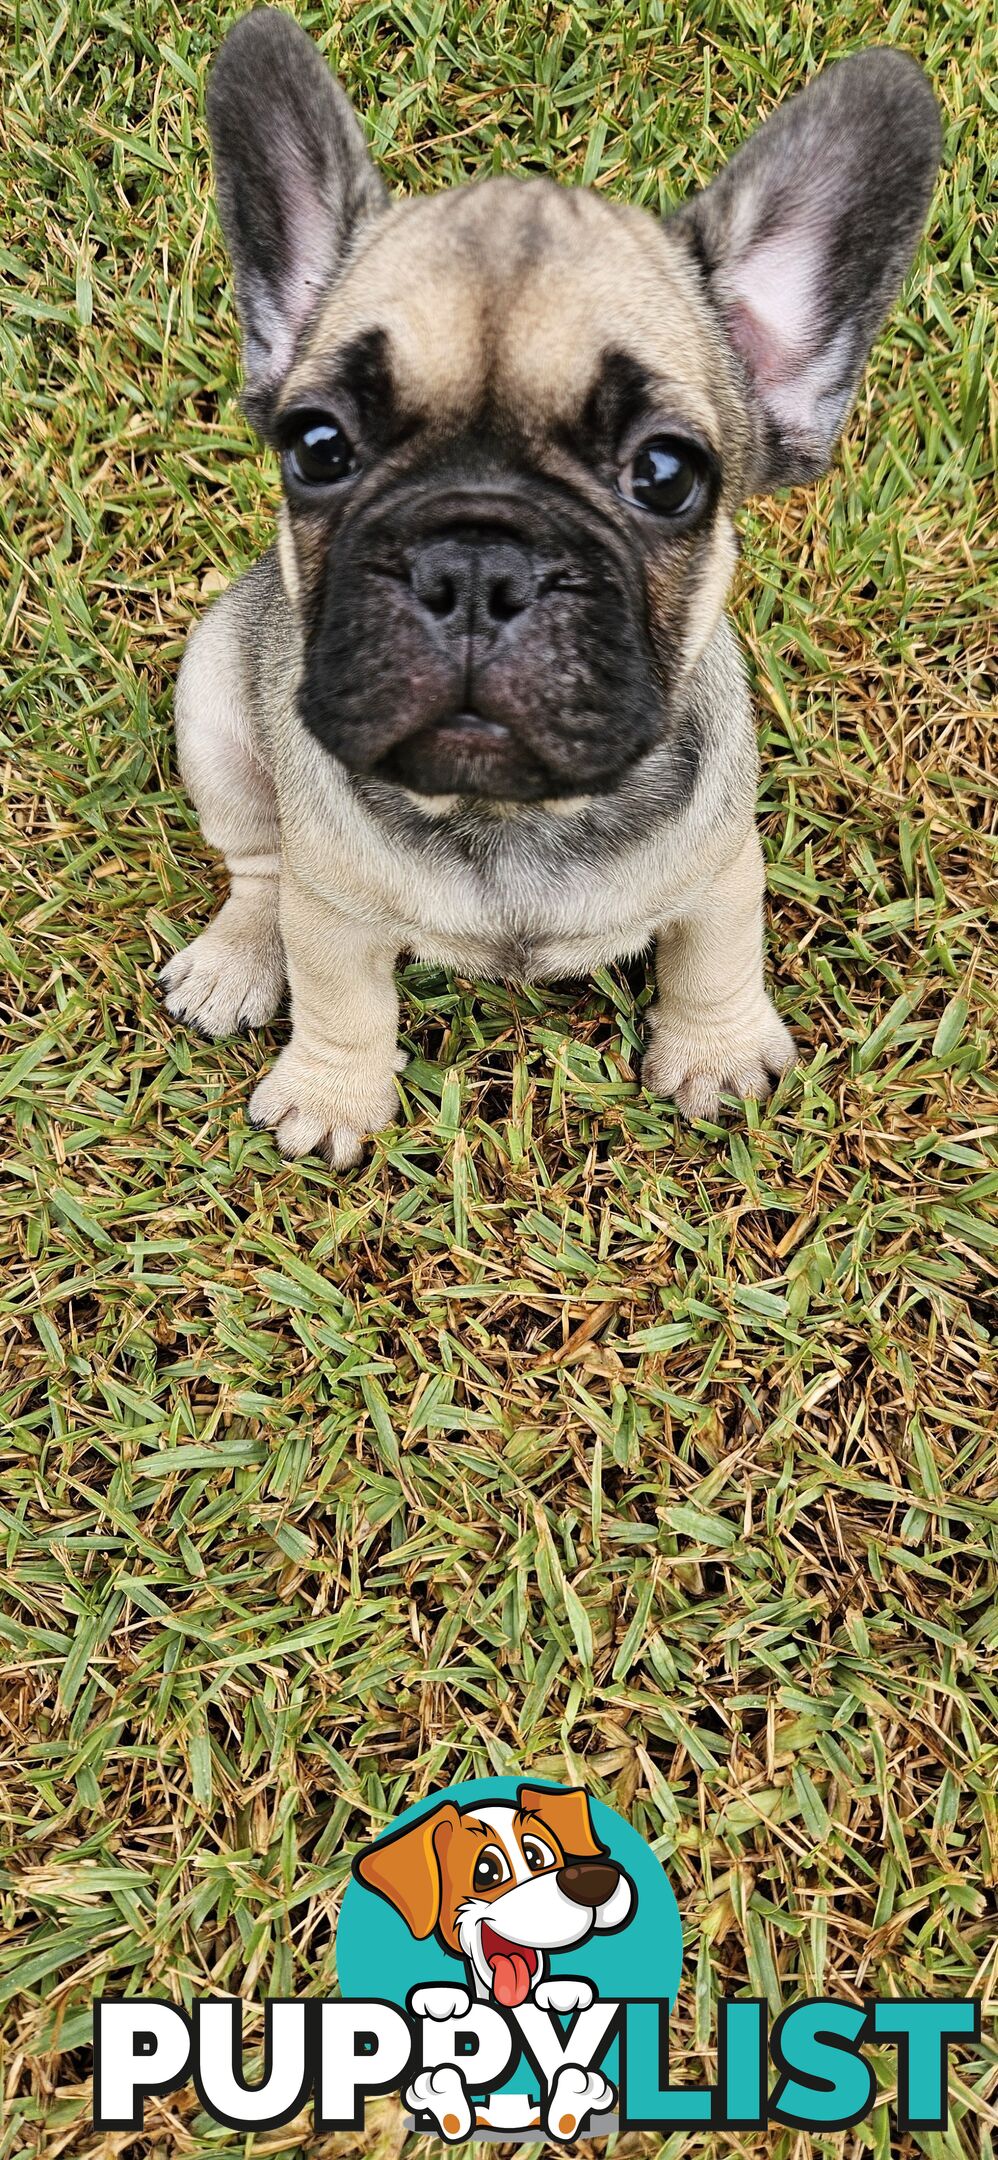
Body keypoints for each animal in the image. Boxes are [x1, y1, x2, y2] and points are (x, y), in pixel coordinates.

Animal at [159, 16, 937, 1166]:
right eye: (317, 448)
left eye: (664, 475)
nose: (475, 564)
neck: (511, 817)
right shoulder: (332, 907)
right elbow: (341, 998)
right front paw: (334, 1093)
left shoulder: (722, 874)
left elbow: (715, 958)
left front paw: (714, 1051)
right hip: (213, 717)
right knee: (257, 861)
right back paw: (234, 959)